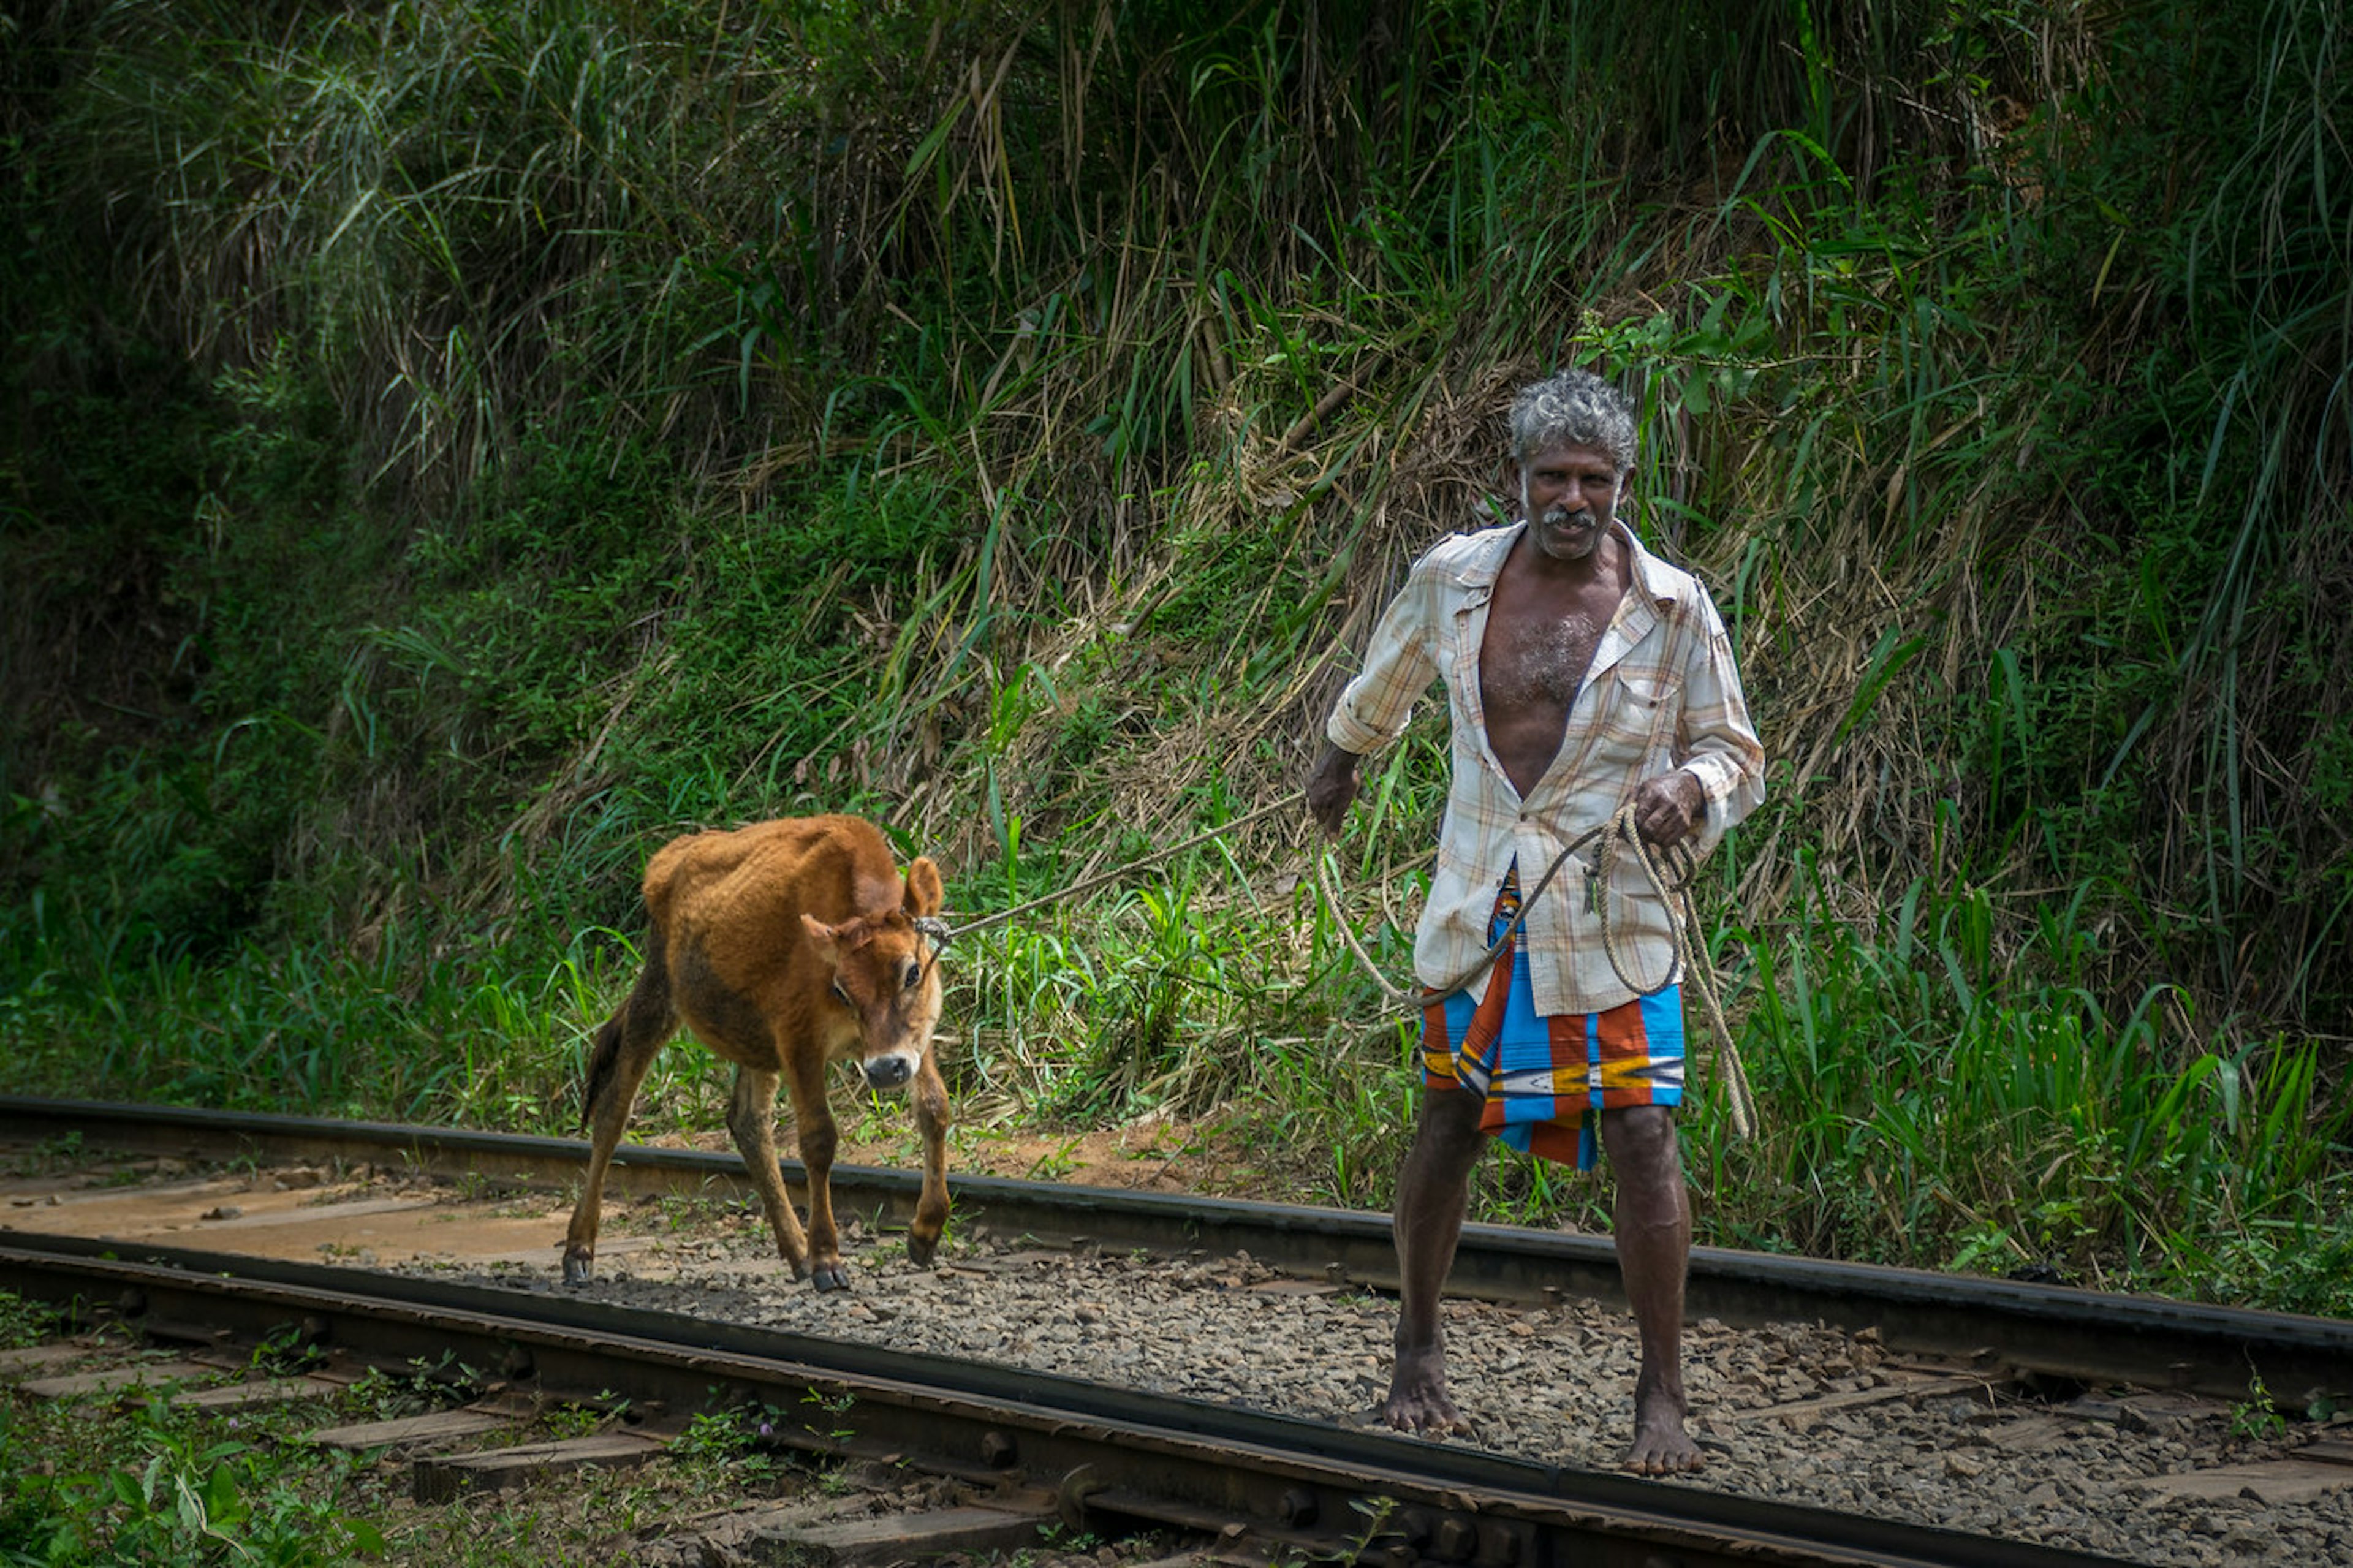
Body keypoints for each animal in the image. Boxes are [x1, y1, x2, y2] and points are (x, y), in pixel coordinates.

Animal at [559, 809, 945, 1290]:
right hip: (658, 996)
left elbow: (934, 1108)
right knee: (613, 1108)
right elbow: (819, 1138)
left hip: (753, 1041)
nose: (883, 1070)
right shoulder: (797, 1038)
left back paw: (796, 1251)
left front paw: (925, 1233)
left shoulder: (913, 1041)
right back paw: (579, 1249)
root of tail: (671, 857)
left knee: (747, 1120)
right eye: (841, 988)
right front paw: (827, 1259)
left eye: (913, 972)